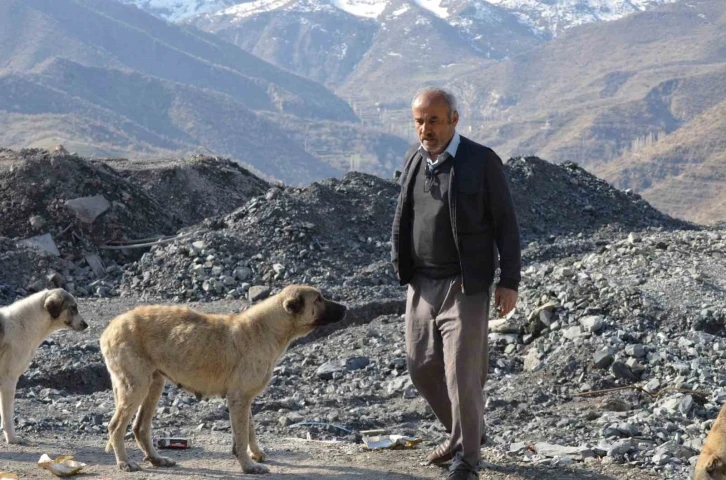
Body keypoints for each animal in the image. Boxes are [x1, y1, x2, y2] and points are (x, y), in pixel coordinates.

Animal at [0, 288, 88, 442]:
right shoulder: (9, 379)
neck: (24, 323)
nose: (86, 324)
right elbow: (7, 415)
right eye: (73, 307)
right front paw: (12, 439)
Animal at [99, 284, 346, 472]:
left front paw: (256, 454)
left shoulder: (244, 398)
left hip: (154, 383)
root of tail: (109, 328)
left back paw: (156, 459)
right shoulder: (239, 397)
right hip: (136, 386)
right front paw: (248, 466)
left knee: (140, 427)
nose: (346, 308)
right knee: (115, 426)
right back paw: (124, 462)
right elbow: (241, 436)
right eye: (319, 299)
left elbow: (249, 429)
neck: (267, 328)